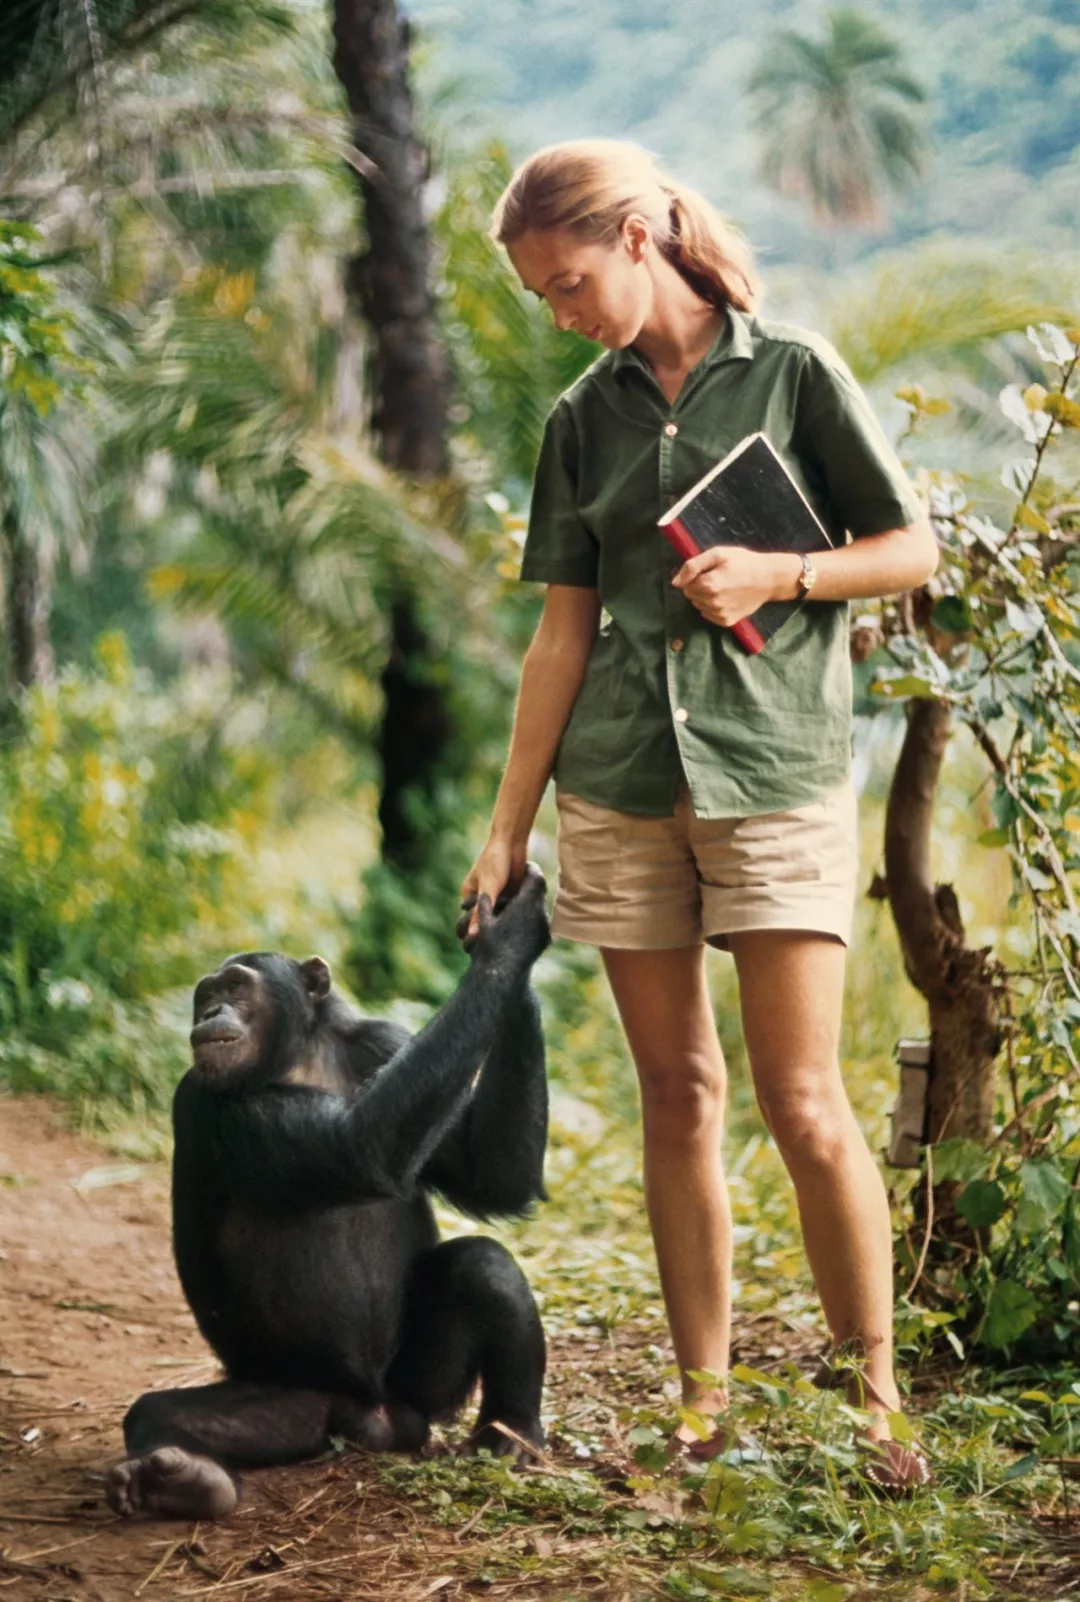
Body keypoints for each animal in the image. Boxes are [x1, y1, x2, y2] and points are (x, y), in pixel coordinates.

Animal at [106, 865, 551, 1512]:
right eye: (203, 994)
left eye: (235, 987)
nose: (210, 1011)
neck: (300, 1056)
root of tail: (376, 1420)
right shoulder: (211, 1104)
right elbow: (358, 1148)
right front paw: (509, 940)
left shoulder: (387, 1043)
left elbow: (494, 1175)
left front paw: (514, 925)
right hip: (298, 1403)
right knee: (157, 1415)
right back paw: (182, 1479)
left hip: (421, 1388)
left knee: (484, 1267)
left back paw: (510, 1433)